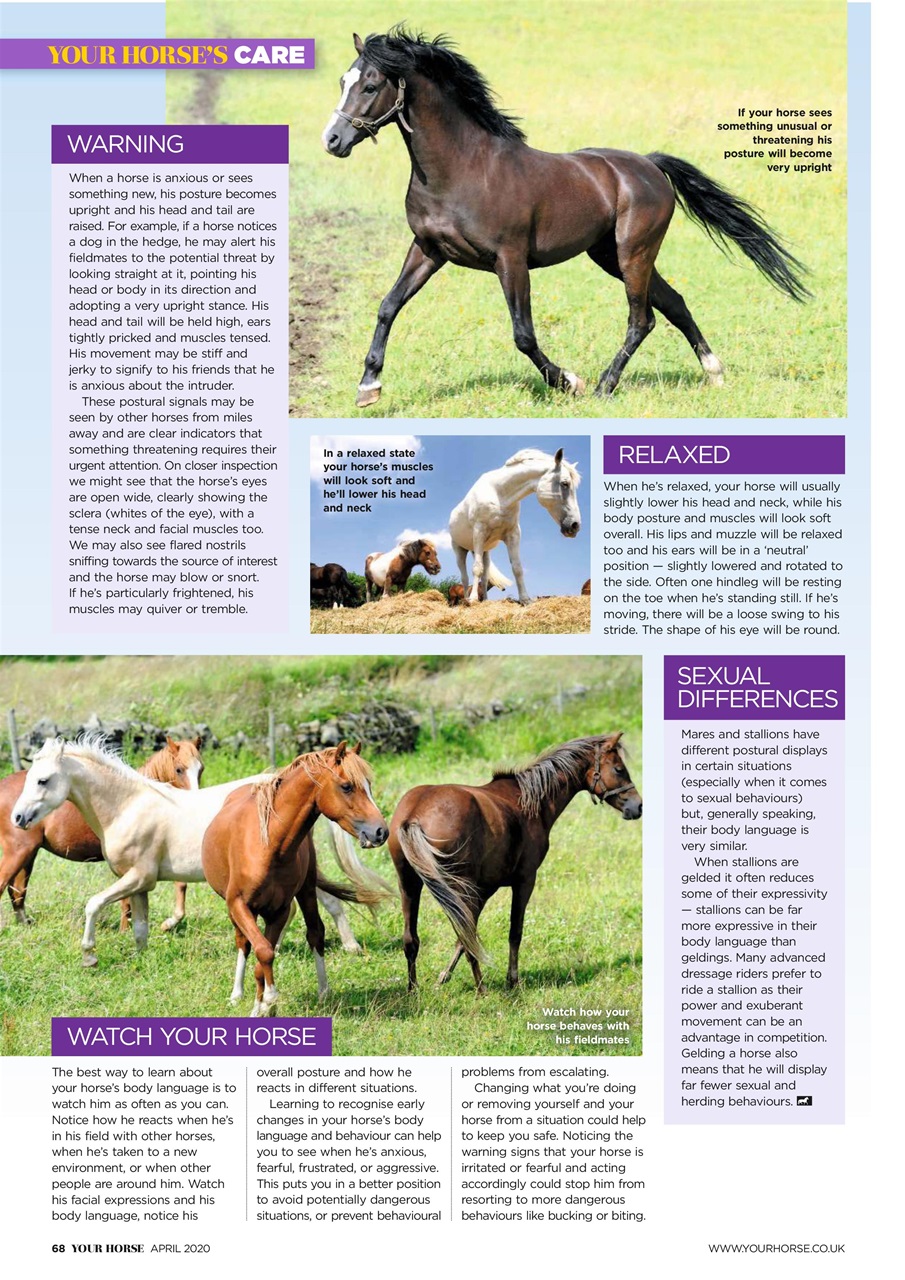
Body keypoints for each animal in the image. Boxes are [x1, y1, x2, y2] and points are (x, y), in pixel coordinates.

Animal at [202, 742, 389, 1014]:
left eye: (369, 785)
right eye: (347, 786)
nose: (381, 831)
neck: (269, 845)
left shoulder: (278, 910)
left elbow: (265, 955)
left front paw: (265, 1005)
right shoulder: (238, 905)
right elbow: (261, 950)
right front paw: (266, 1000)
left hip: (306, 890)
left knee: (315, 933)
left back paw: (323, 991)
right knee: (243, 943)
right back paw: (237, 993)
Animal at [323, 29, 808, 408]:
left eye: (370, 86)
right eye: (344, 81)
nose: (332, 140)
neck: (461, 170)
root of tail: (649, 165)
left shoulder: (510, 259)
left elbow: (523, 334)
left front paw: (568, 382)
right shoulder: (428, 250)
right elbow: (388, 306)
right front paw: (368, 387)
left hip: (633, 252)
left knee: (642, 318)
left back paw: (605, 386)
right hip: (609, 255)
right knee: (673, 303)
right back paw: (714, 372)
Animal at [388, 733, 641, 992]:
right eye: (619, 769)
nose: (637, 806)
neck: (531, 801)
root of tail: (414, 815)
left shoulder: (484, 889)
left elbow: (463, 937)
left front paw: (443, 976)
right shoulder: (524, 881)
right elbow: (513, 932)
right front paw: (512, 980)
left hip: (410, 886)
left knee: (412, 940)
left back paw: (414, 989)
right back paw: (481, 989)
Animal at [449, 448, 580, 604]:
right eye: (565, 483)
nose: (575, 525)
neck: (499, 494)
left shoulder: (513, 534)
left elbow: (517, 568)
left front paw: (525, 599)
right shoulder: (479, 531)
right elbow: (476, 568)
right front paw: (473, 599)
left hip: (484, 551)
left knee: (485, 577)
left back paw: (485, 600)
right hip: (460, 549)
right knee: (465, 577)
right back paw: (466, 599)